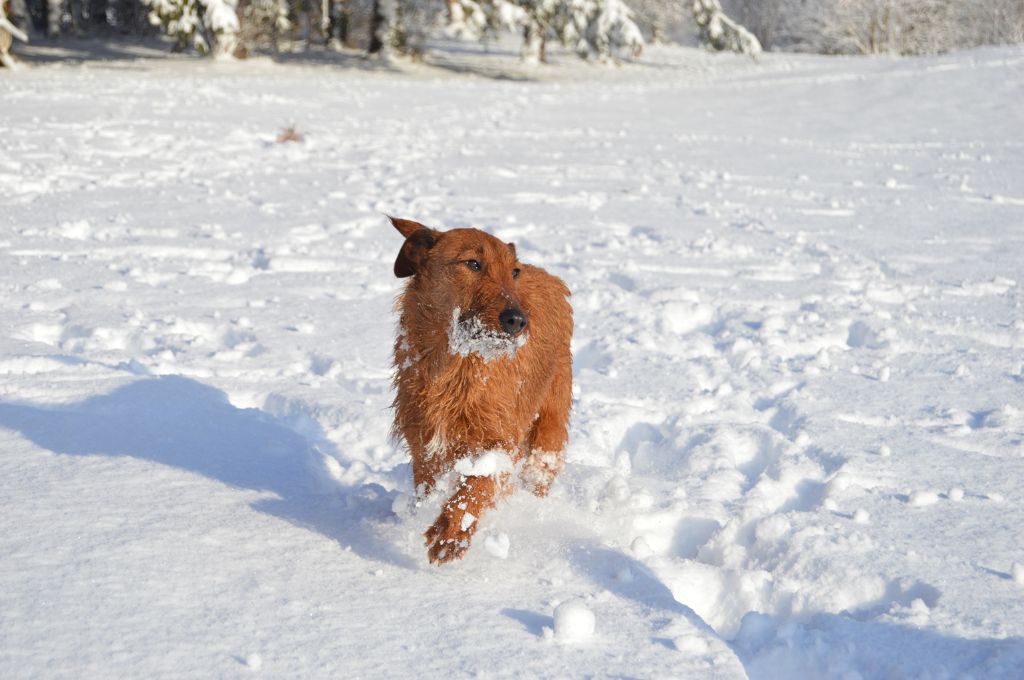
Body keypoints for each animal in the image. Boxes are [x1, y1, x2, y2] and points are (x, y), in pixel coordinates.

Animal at [387, 216, 573, 561]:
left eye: (513, 272)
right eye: (473, 263)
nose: (517, 321)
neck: (456, 361)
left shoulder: (499, 440)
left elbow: (477, 485)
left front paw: (451, 531)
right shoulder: (425, 445)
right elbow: (429, 485)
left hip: (549, 429)